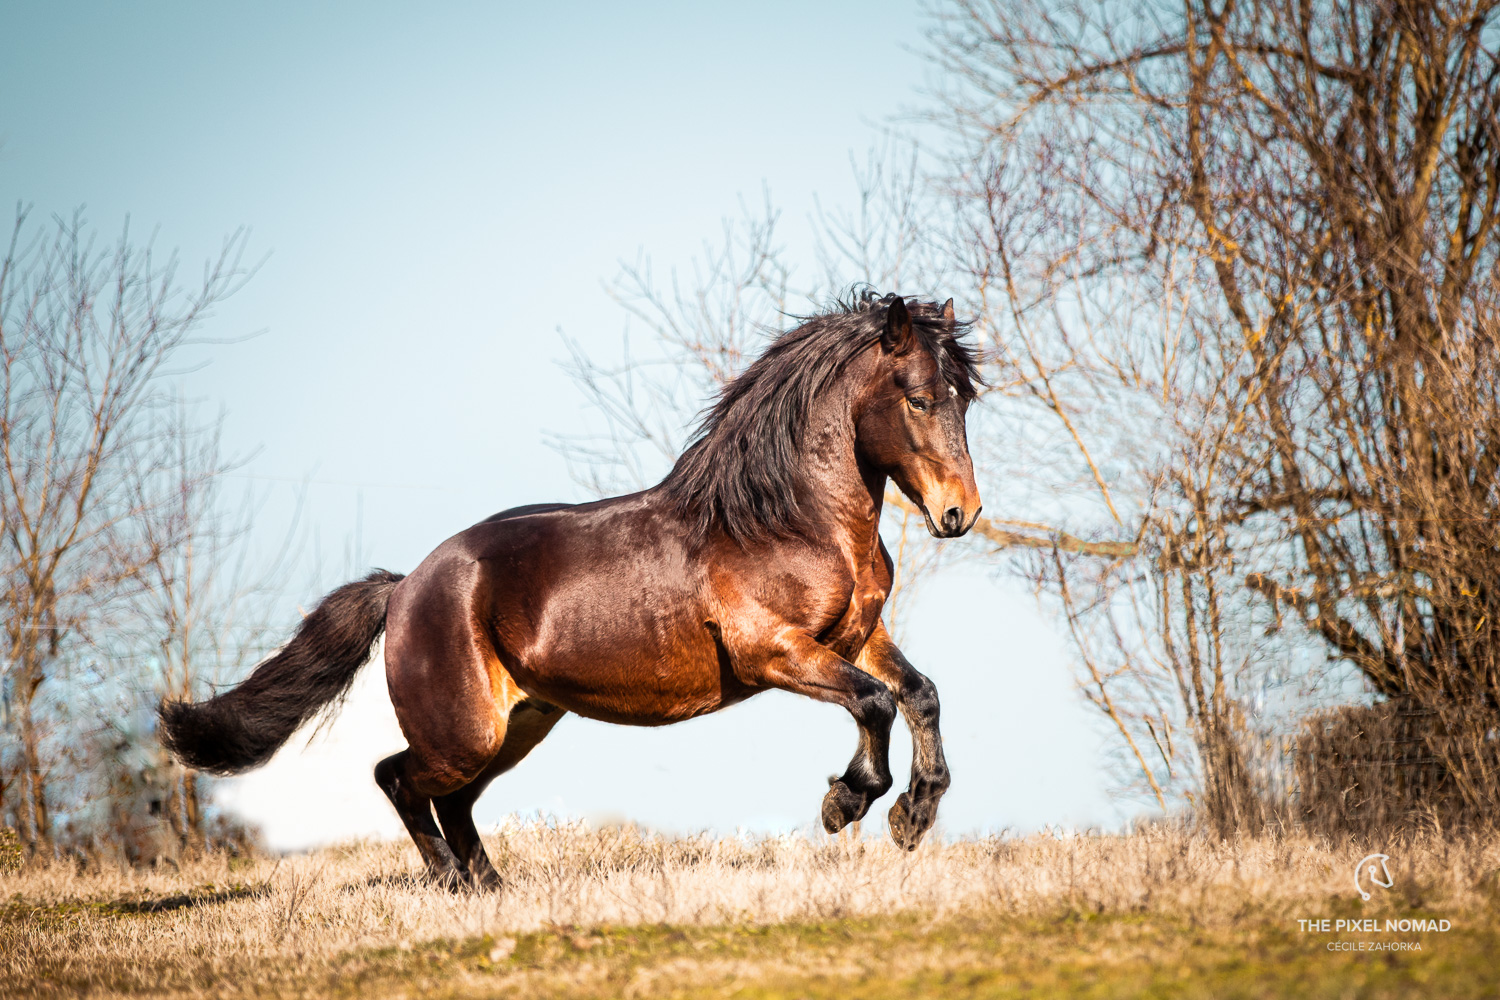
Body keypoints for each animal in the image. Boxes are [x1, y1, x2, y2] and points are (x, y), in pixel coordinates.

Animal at [159, 292, 983, 888]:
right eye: (917, 397)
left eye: (963, 399)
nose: (960, 513)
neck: (784, 521)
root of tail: (403, 589)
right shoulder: (773, 651)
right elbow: (874, 704)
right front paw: (846, 803)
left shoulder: (858, 638)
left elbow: (921, 694)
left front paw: (913, 814)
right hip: (464, 733)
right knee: (398, 778)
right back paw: (451, 882)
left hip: (519, 724)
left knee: (451, 800)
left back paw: (491, 888)